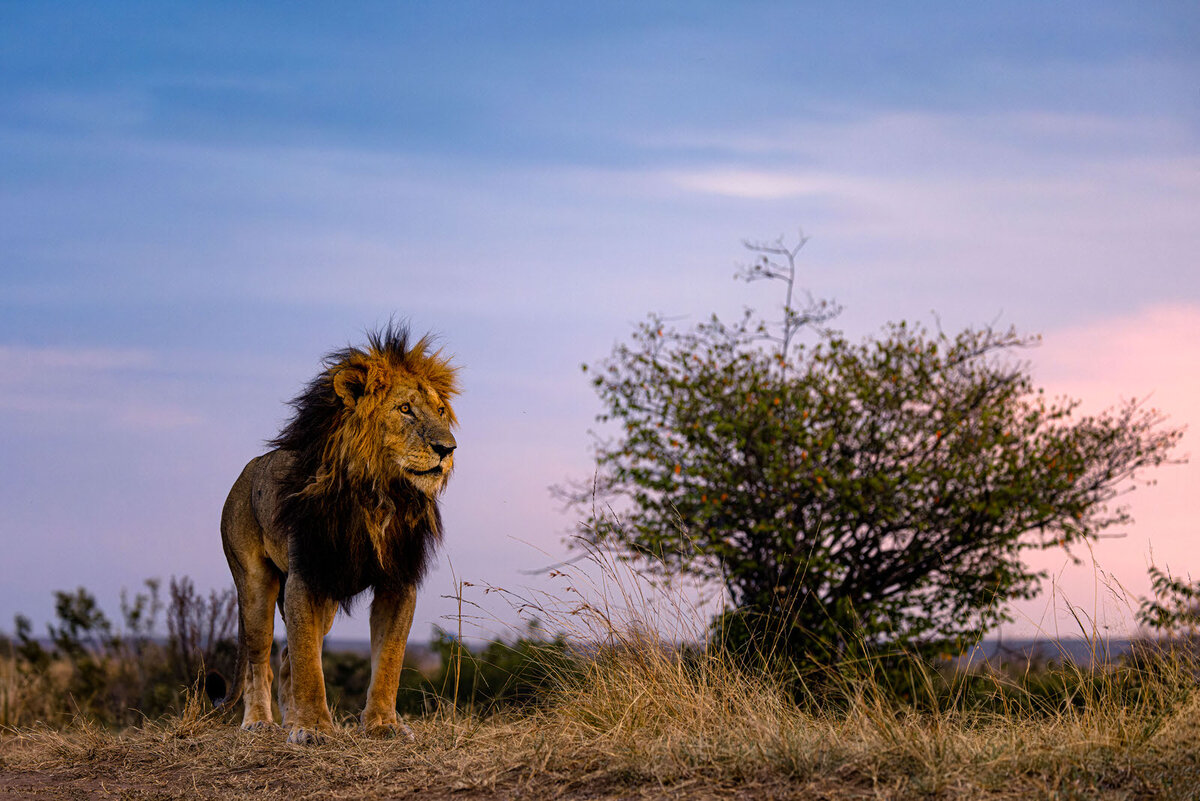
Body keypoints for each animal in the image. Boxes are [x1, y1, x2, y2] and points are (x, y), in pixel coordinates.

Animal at [208, 321, 456, 743]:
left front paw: (383, 725)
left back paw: (288, 719)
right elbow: (309, 664)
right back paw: (259, 721)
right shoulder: (307, 576)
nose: (448, 448)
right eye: (405, 409)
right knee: (260, 660)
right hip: (255, 585)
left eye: (440, 410)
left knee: (286, 658)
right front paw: (312, 729)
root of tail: (248, 470)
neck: (378, 495)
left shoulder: (398, 581)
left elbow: (388, 660)